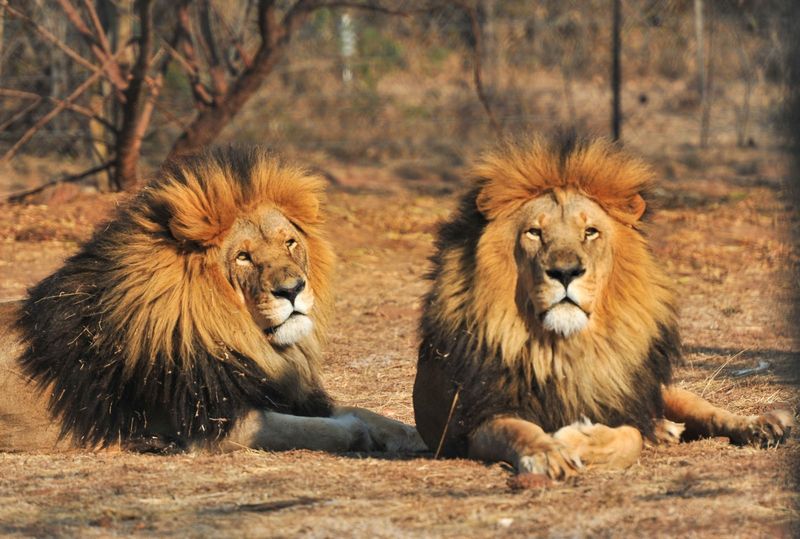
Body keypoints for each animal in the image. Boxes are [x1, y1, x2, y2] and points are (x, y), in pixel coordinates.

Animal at [0, 147, 423, 455]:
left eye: (290, 243)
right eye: (243, 257)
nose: (292, 289)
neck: (240, 335)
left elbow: (367, 412)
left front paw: (417, 433)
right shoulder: (213, 424)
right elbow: (320, 430)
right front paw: (356, 433)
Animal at [413, 134, 794, 479]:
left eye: (590, 232)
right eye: (534, 232)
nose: (565, 272)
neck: (566, 346)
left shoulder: (619, 407)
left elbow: (629, 437)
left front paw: (577, 438)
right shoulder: (477, 420)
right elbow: (519, 430)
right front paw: (549, 453)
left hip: (664, 391)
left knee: (706, 410)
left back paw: (763, 424)